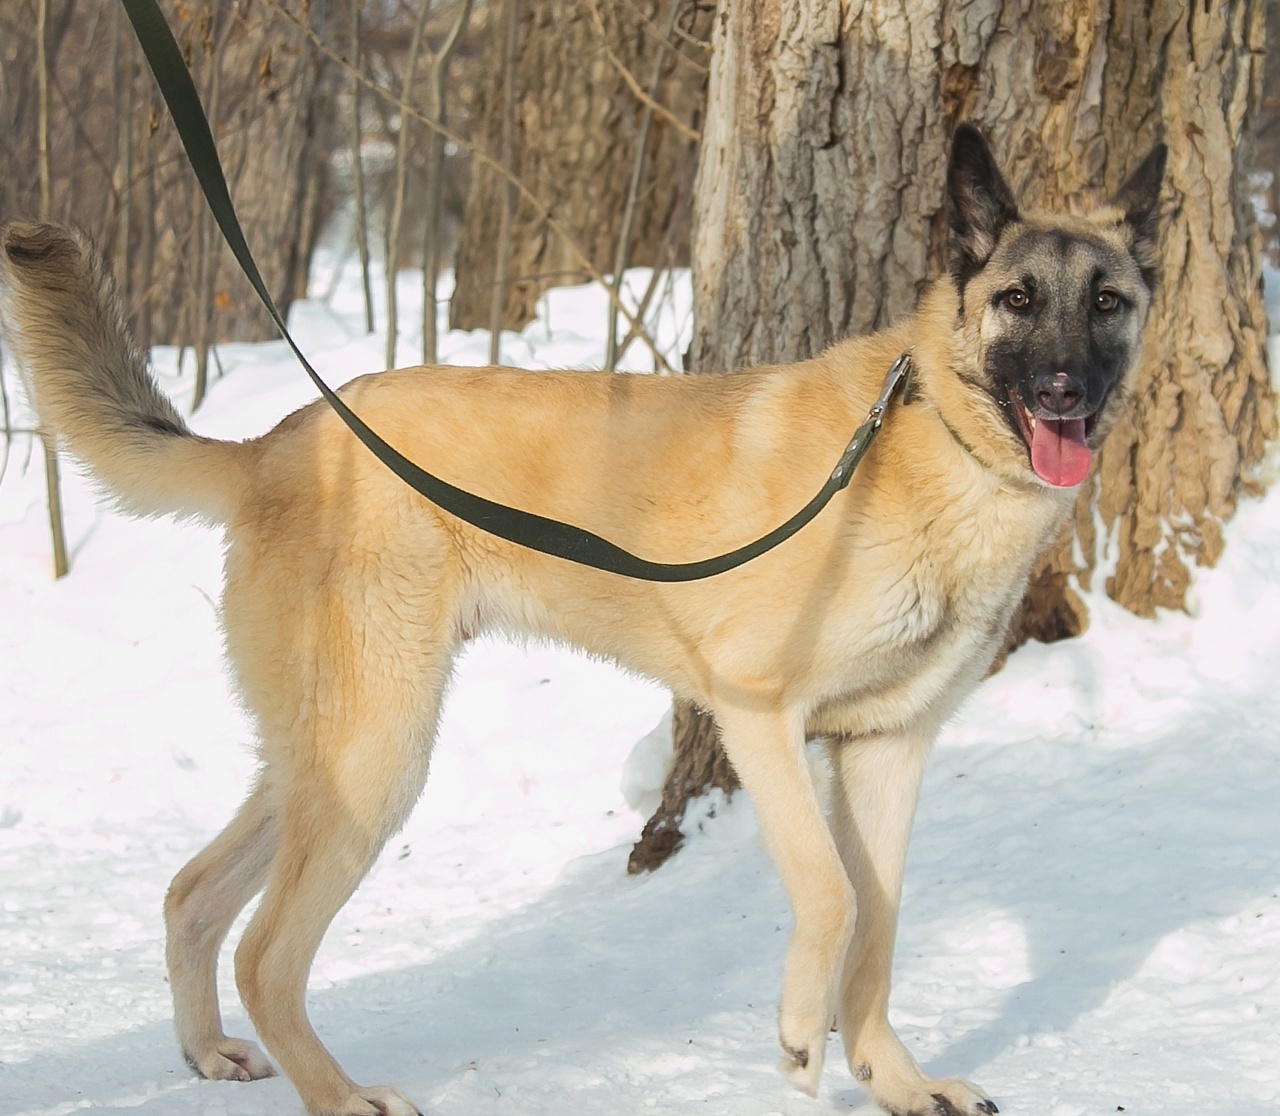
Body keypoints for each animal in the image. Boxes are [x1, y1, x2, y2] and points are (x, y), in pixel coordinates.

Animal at [0, 122, 1162, 1116]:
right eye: (1018, 298)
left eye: (1107, 301)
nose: (1064, 391)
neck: (934, 446)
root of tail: (272, 445)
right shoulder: (760, 718)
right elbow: (832, 898)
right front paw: (799, 1038)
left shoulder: (887, 749)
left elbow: (877, 926)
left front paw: (897, 1080)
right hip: (379, 759)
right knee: (264, 951)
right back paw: (338, 1093)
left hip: (322, 758)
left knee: (192, 895)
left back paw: (206, 1052)